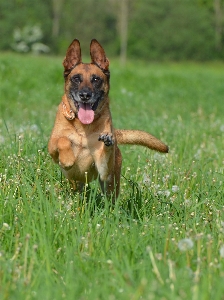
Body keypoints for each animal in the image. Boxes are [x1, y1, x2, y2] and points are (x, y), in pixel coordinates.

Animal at [48, 39, 169, 199]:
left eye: (96, 79)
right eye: (76, 79)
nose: (85, 95)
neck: (82, 127)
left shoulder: (101, 167)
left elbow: (103, 159)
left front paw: (107, 141)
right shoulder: (52, 146)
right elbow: (63, 140)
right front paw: (68, 159)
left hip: (110, 185)